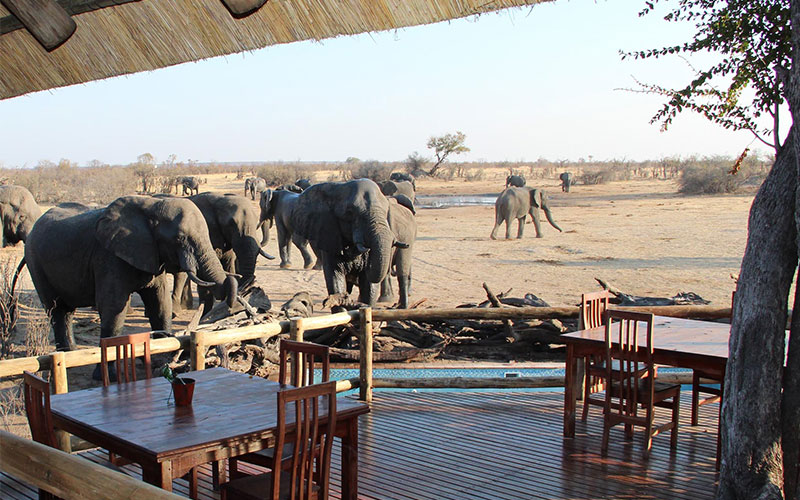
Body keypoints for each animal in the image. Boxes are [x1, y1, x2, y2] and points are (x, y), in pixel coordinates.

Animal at [23, 195, 238, 352]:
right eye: (180, 238)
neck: (151, 207)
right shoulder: (108, 257)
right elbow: (113, 308)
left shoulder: (153, 255)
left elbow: (160, 303)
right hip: (35, 262)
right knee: (57, 309)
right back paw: (67, 354)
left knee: (65, 312)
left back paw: (72, 353)